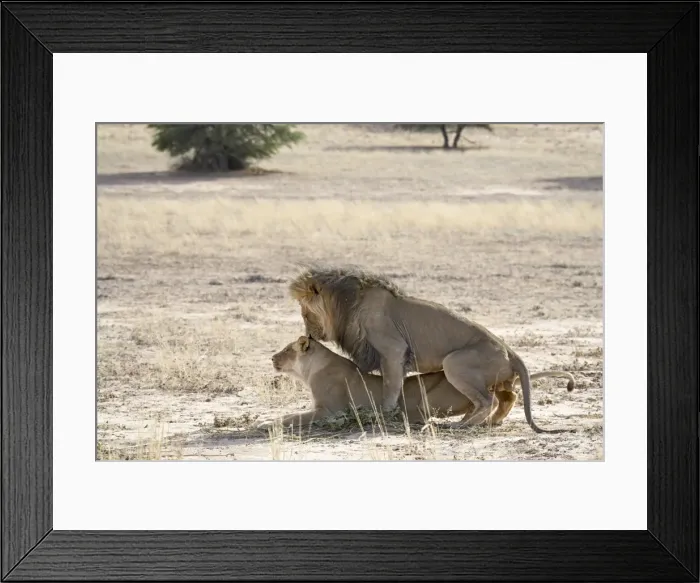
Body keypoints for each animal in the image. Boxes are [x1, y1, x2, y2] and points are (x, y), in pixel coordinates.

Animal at [255, 335, 576, 432]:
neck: (312, 368)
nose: (271, 357)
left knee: (491, 399)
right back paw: (488, 421)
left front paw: (265, 423)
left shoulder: (329, 410)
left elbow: (292, 416)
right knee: (506, 395)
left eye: (286, 350)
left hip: (439, 387)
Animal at [289, 265, 574, 434]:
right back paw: (490, 422)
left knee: (487, 400)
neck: (345, 305)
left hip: (454, 363)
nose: (308, 334)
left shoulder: (393, 350)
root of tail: (509, 349)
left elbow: (390, 388)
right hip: (496, 377)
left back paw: (461, 425)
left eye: (304, 312)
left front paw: (384, 415)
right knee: (509, 396)